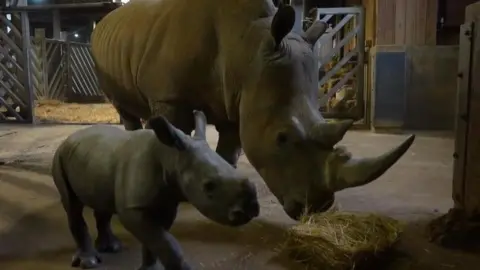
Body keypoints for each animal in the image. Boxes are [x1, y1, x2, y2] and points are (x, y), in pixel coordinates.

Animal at [52, 110, 258, 268]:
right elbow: (165, 241)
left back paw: (111, 247)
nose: (251, 210)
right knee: (72, 205)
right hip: (60, 156)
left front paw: (150, 268)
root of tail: (70, 137)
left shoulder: (167, 202)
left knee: (102, 203)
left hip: (93, 158)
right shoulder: (133, 209)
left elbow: (156, 241)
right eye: (208, 186)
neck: (171, 156)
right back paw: (89, 262)